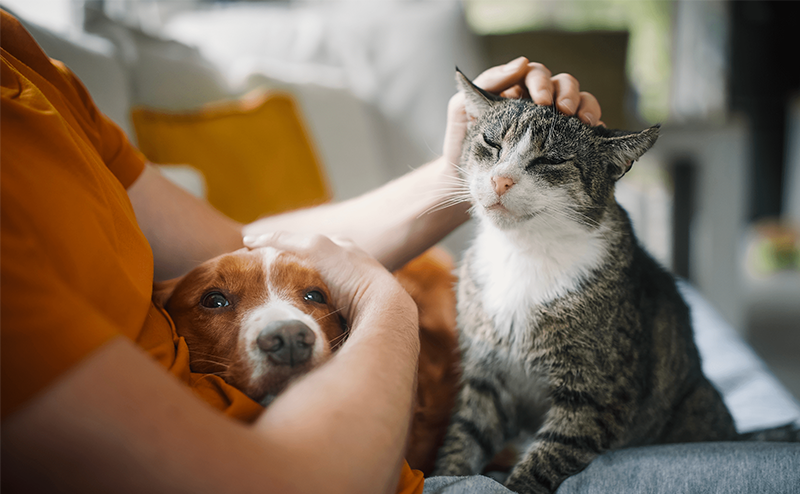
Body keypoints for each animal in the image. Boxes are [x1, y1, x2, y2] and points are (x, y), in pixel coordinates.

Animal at [434, 70, 740, 494]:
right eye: (491, 143)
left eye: (550, 159)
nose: (500, 181)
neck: (525, 252)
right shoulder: (486, 377)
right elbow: (464, 439)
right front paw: (447, 474)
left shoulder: (597, 395)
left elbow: (544, 459)